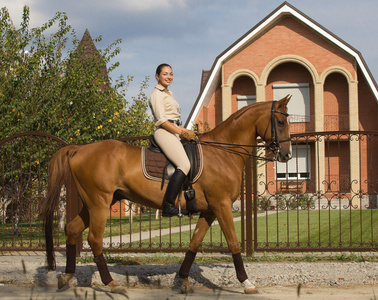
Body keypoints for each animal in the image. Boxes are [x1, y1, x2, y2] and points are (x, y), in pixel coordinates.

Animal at [43, 95, 292, 294]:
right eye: (280, 122)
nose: (287, 155)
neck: (223, 152)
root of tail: (79, 148)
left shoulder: (210, 211)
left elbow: (194, 243)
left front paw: (182, 280)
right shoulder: (221, 206)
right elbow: (233, 243)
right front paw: (246, 282)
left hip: (95, 203)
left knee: (72, 229)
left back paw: (66, 277)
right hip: (99, 203)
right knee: (94, 239)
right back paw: (111, 283)